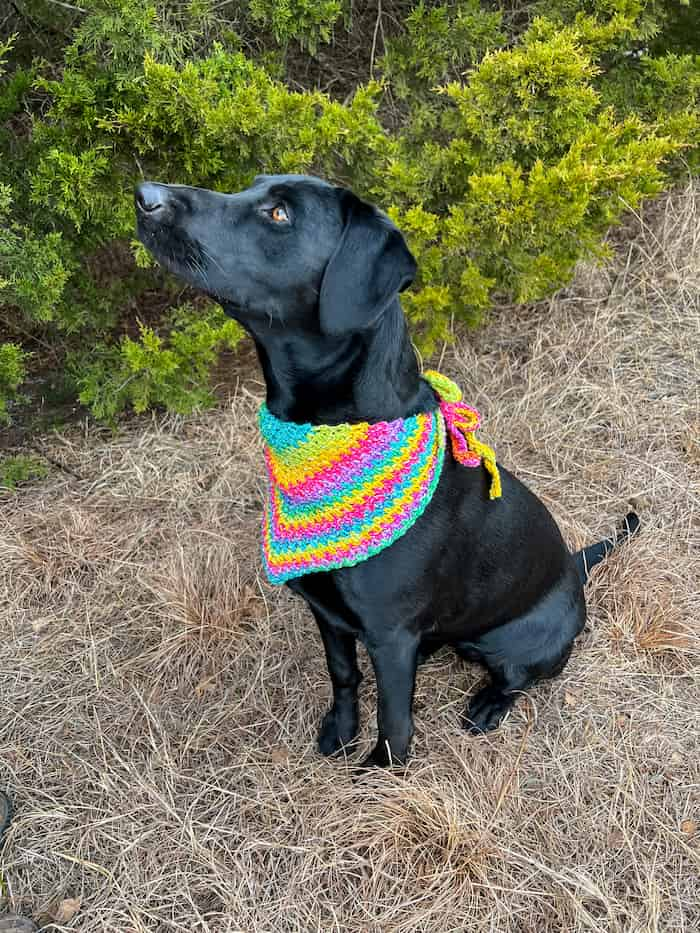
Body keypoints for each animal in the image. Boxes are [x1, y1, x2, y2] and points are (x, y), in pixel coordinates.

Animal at [135, 175, 640, 764]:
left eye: (279, 214)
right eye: (252, 187)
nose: (144, 195)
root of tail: (574, 569)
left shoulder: (391, 635)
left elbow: (395, 719)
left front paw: (380, 768)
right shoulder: (328, 614)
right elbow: (344, 673)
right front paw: (340, 730)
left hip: (524, 645)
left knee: (517, 679)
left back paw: (489, 705)